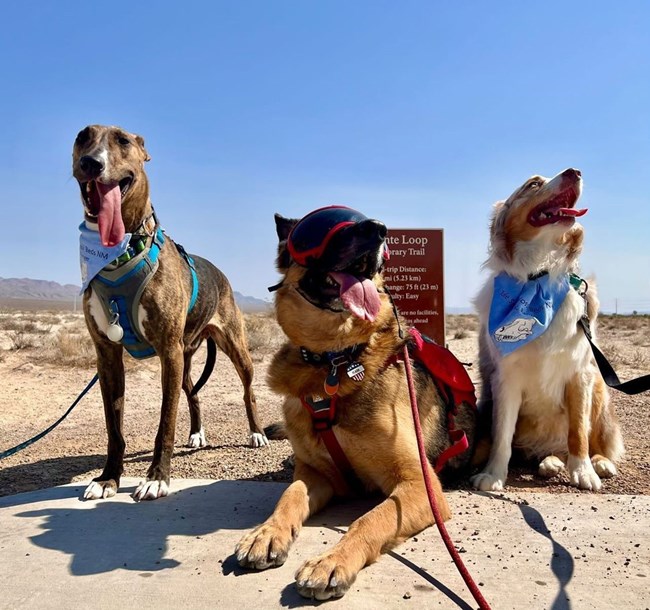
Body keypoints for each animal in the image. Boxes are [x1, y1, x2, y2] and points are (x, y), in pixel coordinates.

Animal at [70, 123, 264, 498]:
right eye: (82, 136)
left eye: (123, 140)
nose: (91, 163)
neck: (122, 250)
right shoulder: (108, 356)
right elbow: (114, 429)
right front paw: (107, 478)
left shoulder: (167, 352)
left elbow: (165, 422)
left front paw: (157, 478)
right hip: (184, 358)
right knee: (194, 395)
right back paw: (197, 434)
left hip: (233, 348)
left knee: (248, 391)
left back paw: (257, 432)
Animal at [234, 205, 476, 600]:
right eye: (321, 228)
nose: (378, 230)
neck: (338, 361)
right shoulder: (316, 474)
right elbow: (289, 495)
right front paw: (266, 533)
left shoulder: (419, 486)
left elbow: (369, 518)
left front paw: (332, 561)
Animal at [470, 169, 624, 492]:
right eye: (533, 184)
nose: (574, 171)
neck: (537, 278)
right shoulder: (505, 377)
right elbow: (502, 434)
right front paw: (493, 475)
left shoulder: (580, 374)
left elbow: (578, 431)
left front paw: (583, 472)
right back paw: (550, 462)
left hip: (600, 388)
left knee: (594, 441)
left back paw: (599, 462)